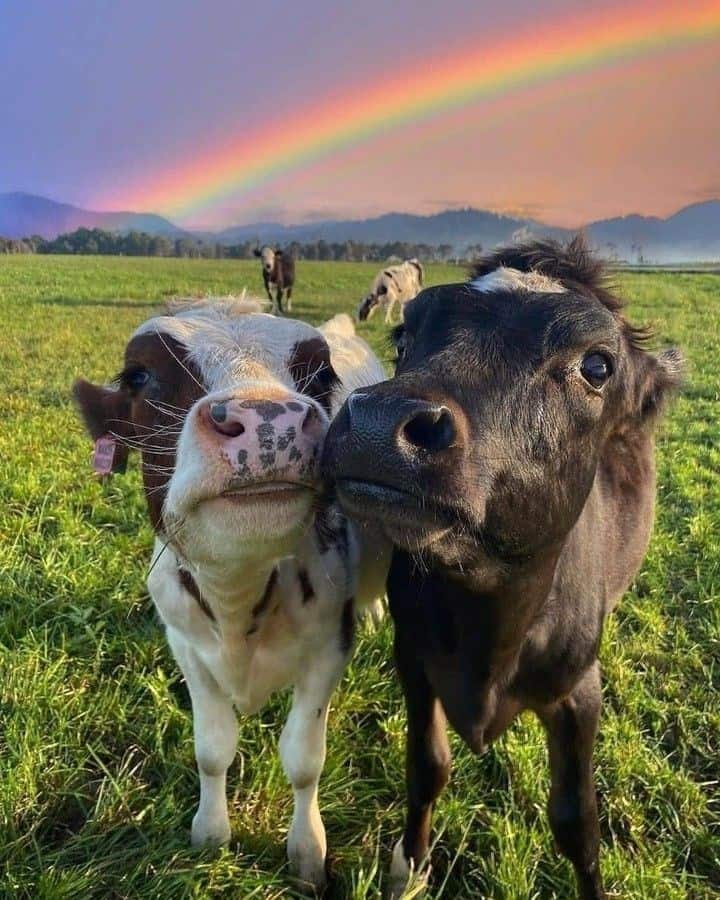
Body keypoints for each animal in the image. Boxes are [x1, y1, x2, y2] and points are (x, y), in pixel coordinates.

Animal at [73, 297, 390, 891]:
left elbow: (303, 759)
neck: (238, 600)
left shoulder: (330, 647)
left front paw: (307, 850)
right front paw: (211, 832)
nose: (270, 420)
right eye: (139, 375)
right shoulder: (186, 647)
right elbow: (212, 750)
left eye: (321, 375)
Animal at [321, 237, 683, 899]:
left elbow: (577, 822)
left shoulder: (577, 694)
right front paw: (411, 863)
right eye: (406, 337)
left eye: (597, 366)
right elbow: (427, 767)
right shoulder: (415, 661)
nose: (380, 422)